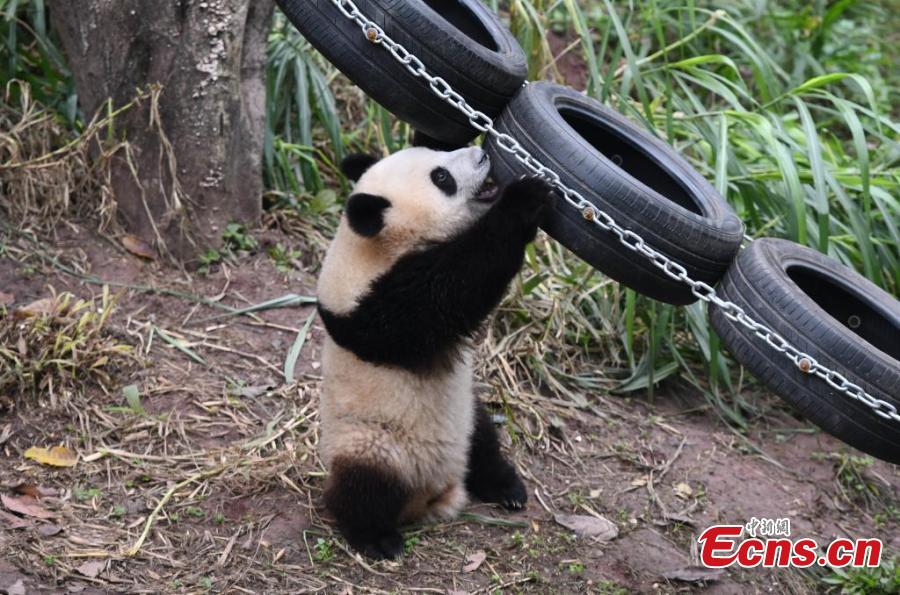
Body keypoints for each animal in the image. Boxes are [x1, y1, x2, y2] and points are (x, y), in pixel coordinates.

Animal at [316, 138, 552, 559]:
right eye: (441, 178)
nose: (482, 154)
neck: (370, 248)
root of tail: (434, 493)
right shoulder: (377, 310)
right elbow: (453, 287)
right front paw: (525, 200)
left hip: (466, 415)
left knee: (484, 442)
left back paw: (506, 487)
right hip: (372, 443)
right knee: (362, 488)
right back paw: (377, 538)